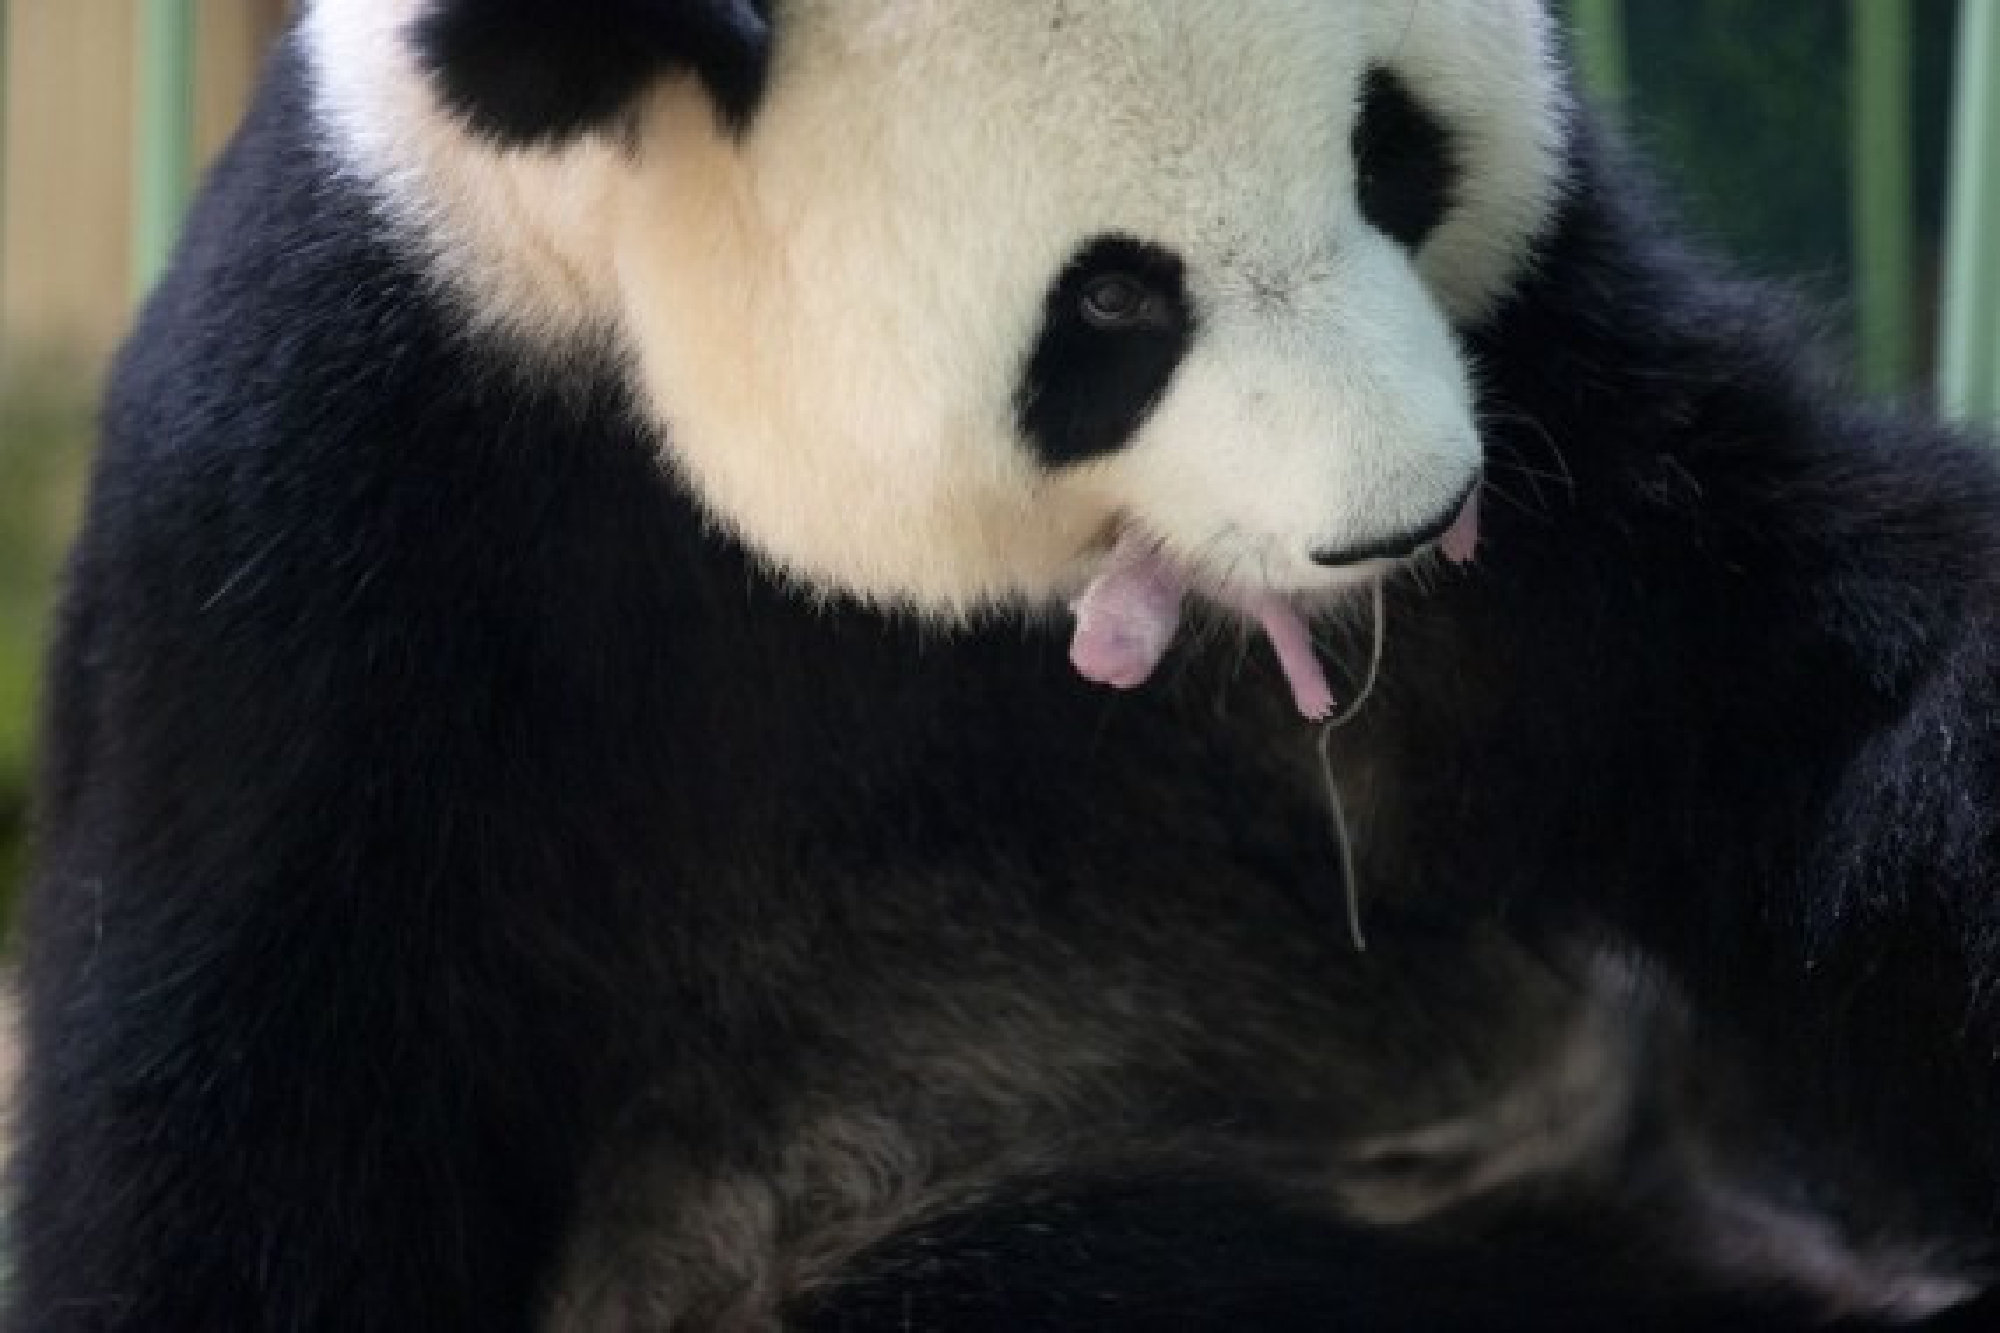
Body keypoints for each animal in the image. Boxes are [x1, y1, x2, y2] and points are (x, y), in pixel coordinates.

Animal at [9, 0, 2000, 1328]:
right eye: (1115, 297)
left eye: (1392, 152)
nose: (1409, 515)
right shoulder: (346, 545)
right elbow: (256, 1116)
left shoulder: (1562, 409)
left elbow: (1767, 698)